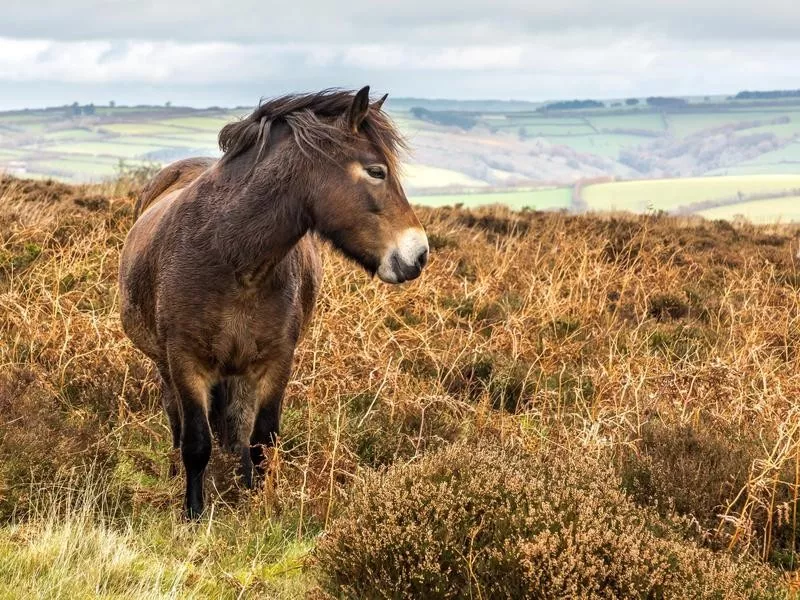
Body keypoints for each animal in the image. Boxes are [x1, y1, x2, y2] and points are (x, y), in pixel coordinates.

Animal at [119, 86, 428, 516]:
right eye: (376, 171)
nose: (419, 254)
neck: (231, 255)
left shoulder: (276, 362)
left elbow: (261, 442)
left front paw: (257, 505)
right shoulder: (185, 361)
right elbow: (197, 443)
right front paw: (194, 513)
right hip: (165, 366)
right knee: (178, 422)